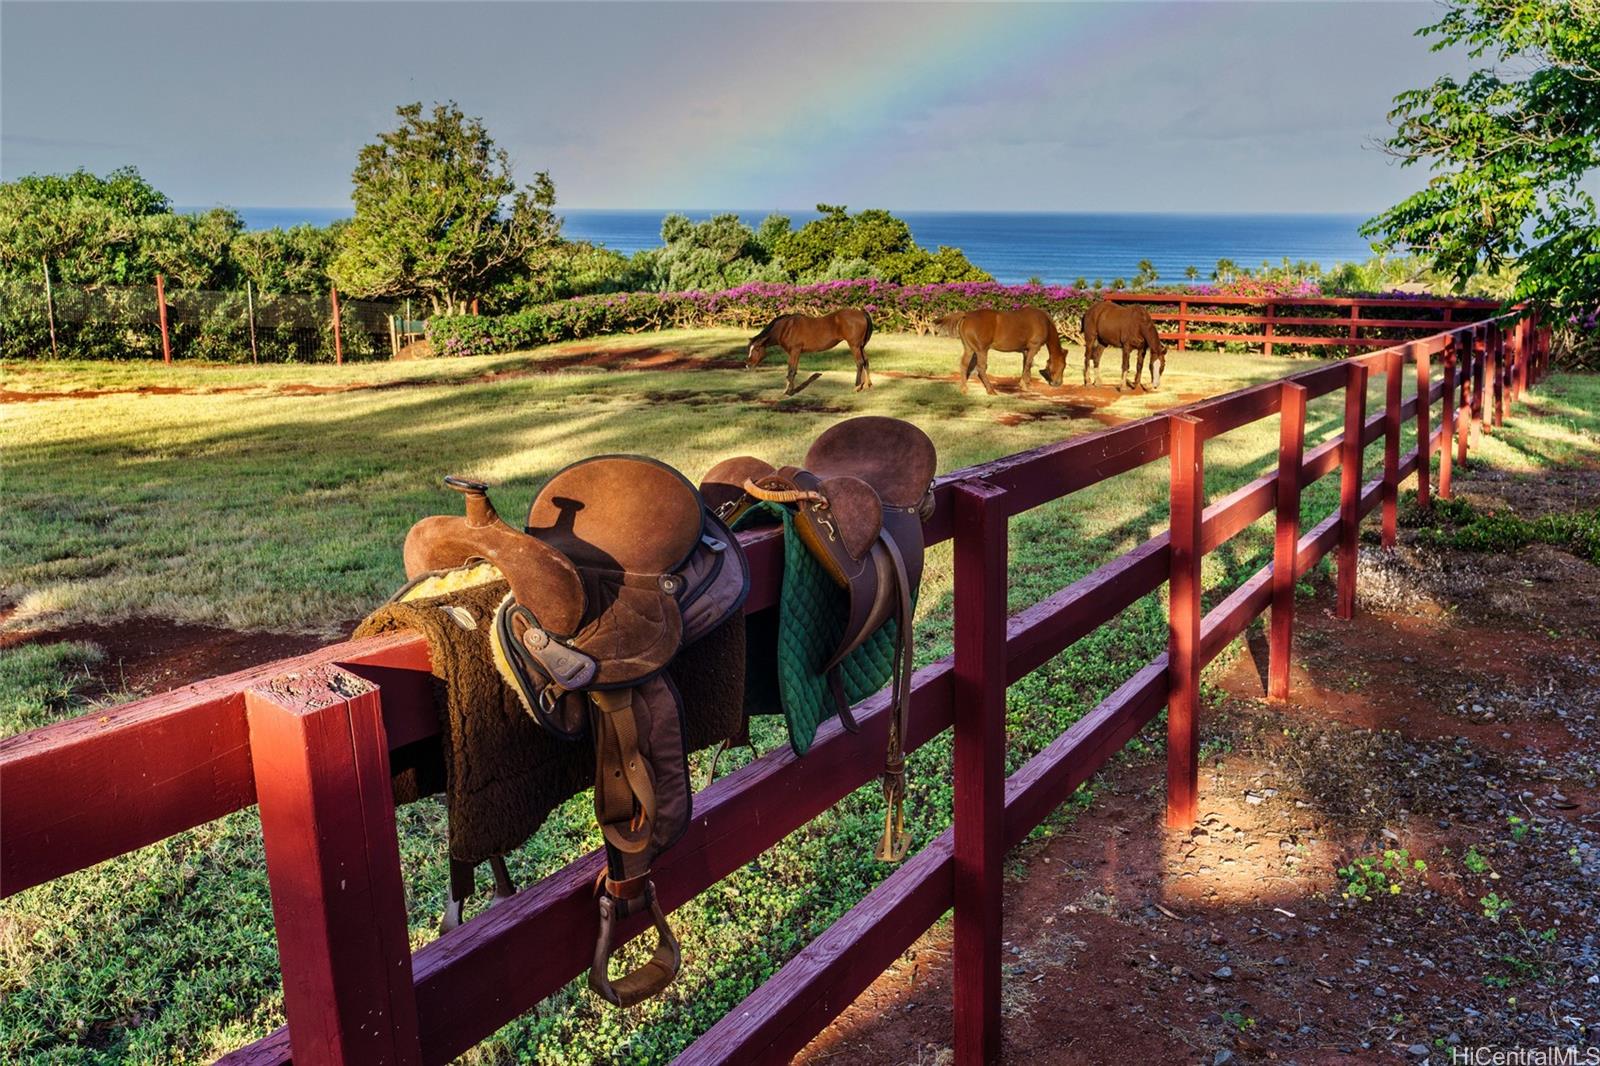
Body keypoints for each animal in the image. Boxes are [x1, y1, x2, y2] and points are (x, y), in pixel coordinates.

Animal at [745, 307, 876, 393]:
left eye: (757, 348)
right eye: (749, 349)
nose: (747, 365)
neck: (786, 328)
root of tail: (861, 313)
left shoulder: (795, 351)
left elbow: (792, 370)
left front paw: (789, 391)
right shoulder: (792, 353)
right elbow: (790, 369)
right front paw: (788, 388)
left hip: (854, 346)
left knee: (859, 363)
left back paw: (857, 386)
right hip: (860, 346)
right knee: (866, 361)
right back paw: (867, 385)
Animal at [934, 307, 1068, 393]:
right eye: (1063, 366)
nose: (1058, 383)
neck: (1045, 322)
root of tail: (967, 315)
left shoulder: (1025, 350)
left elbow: (1025, 365)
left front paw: (1025, 383)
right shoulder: (1034, 347)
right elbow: (1029, 364)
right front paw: (1025, 386)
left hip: (969, 349)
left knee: (964, 365)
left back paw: (964, 388)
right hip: (982, 350)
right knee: (981, 368)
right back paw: (990, 390)